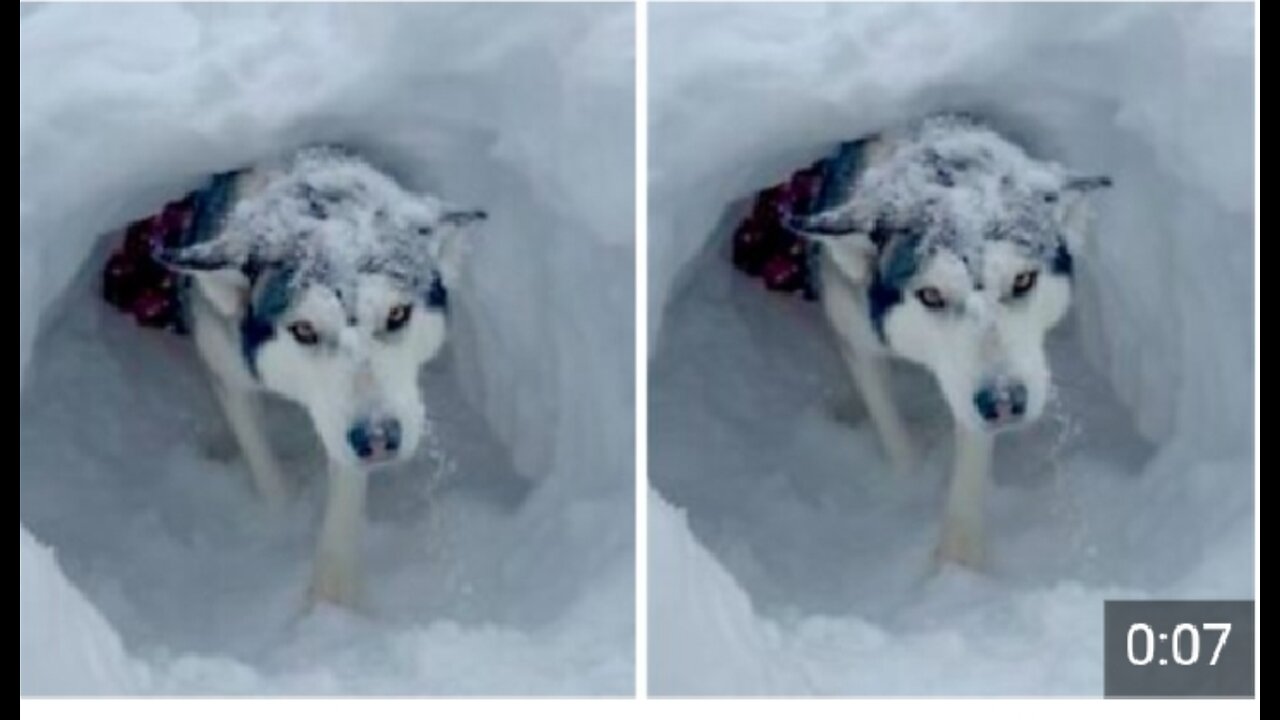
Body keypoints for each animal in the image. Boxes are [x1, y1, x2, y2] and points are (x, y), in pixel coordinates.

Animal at [156, 147, 483, 604]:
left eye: (397, 314)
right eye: (304, 330)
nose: (378, 440)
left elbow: (344, 496)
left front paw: (335, 599)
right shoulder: (225, 364)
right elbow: (260, 457)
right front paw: (281, 517)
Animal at [788, 116, 1111, 566]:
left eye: (1023, 280)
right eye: (931, 295)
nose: (1004, 403)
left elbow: (971, 459)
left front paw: (960, 561)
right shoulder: (854, 331)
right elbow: (888, 423)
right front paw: (909, 482)